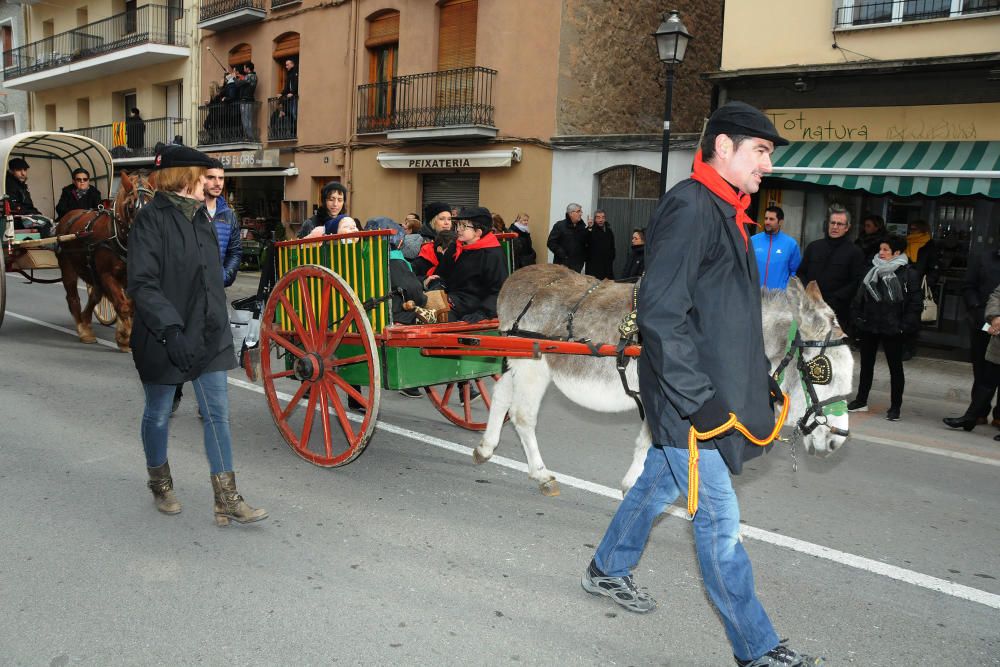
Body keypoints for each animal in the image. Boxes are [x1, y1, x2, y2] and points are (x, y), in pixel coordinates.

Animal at [54, 172, 150, 352]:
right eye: (131, 207)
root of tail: (69, 216)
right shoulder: (106, 275)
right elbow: (123, 306)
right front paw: (125, 338)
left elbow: (130, 305)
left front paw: (123, 335)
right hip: (68, 267)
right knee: (73, 298)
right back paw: (83, 330)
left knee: (95, 296)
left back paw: (85, 320)